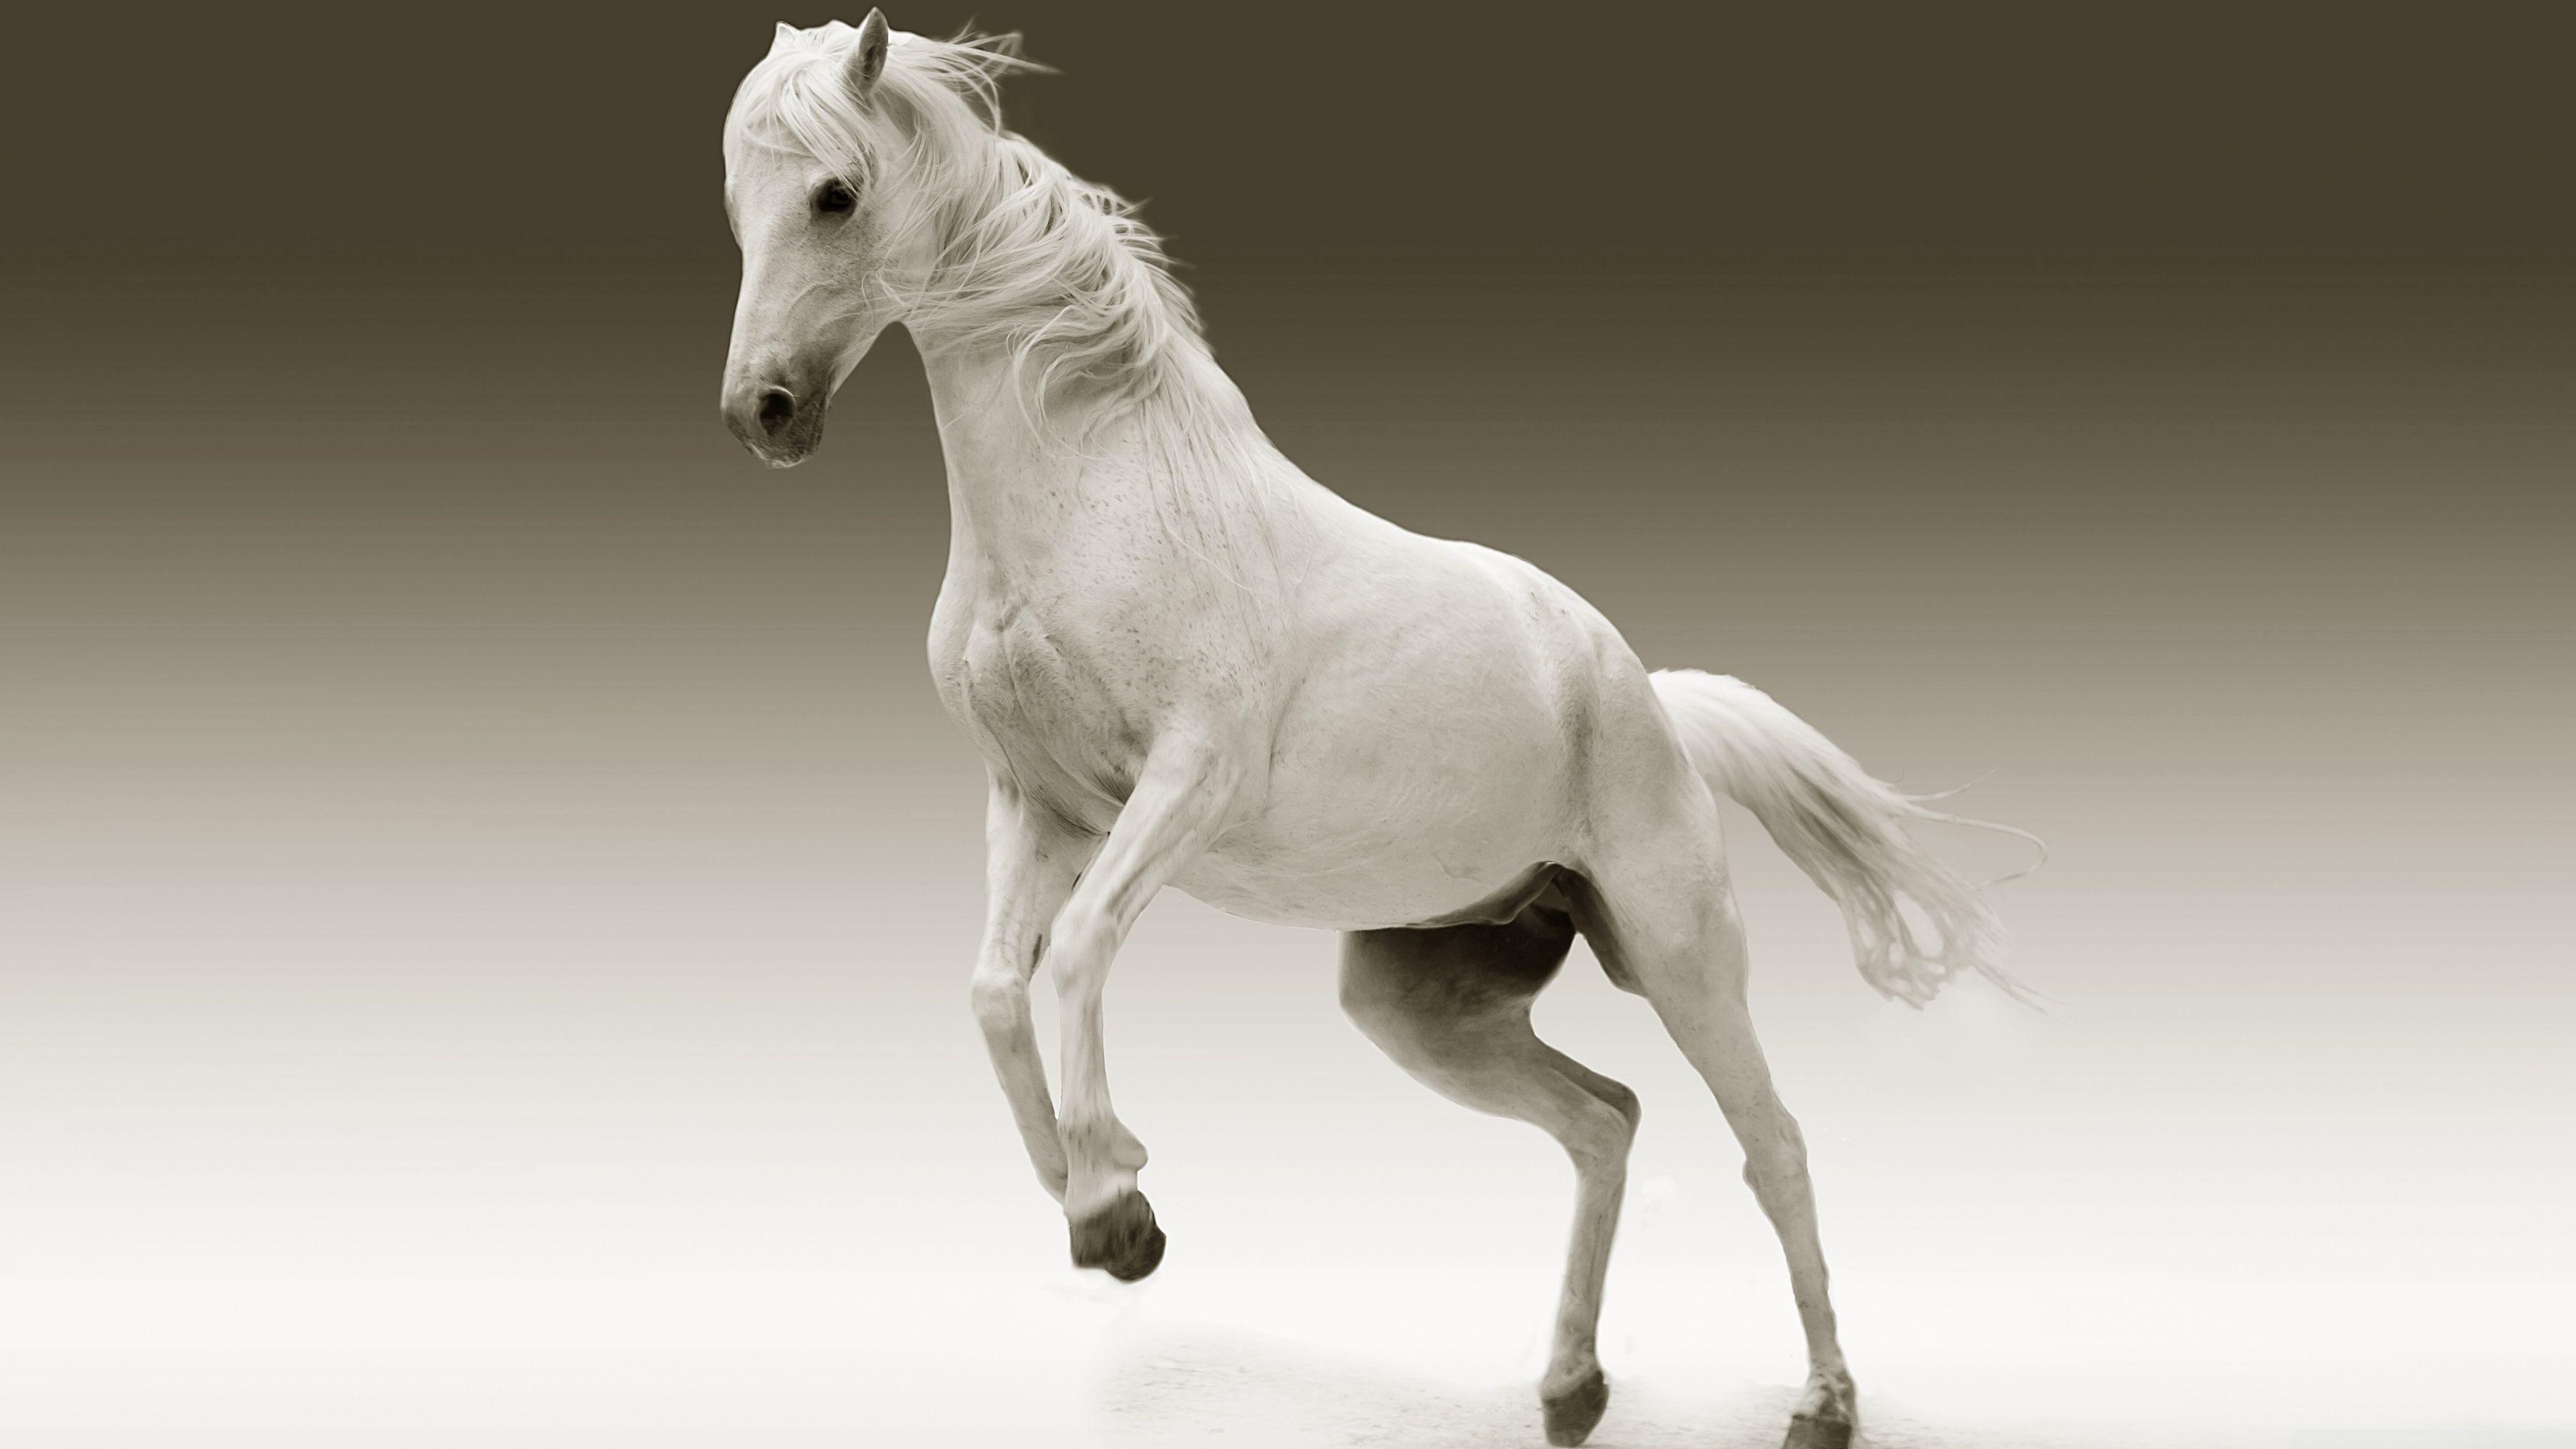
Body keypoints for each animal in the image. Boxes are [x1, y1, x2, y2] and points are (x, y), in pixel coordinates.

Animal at [717, 16, 2037, 1448]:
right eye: (737, 202)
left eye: (834, 194)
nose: (762, 412)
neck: (1097, 494)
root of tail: (1644, 694)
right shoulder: (1038, 804)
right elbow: (993, 989)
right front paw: (1095, 1197)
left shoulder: (1183, 783)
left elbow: (1073, 955)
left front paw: (1114, 1206)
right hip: (1421, 1001)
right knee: (1603, 1119)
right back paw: (1569, 1382)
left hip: (1680, 952)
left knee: (1772, 1140)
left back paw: (1822, 1399)